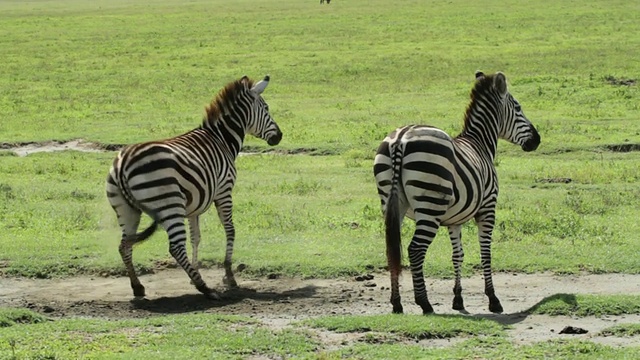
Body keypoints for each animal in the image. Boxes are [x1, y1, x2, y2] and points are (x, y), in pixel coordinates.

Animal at [106, 74, 282, 300]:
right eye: (266, 108)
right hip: (170, 204)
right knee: (175, 247)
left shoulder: (194, 204)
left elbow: (196, 237)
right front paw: (228, 275)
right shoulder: (224, 191)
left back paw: (138, 287)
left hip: (125, 209)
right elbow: (230, 229)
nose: (279, 136)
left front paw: (194, 272)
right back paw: (205, 288)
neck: (221, 139)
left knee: (125, 245)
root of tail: (123, 164)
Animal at [376, 71, 540, 314]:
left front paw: (458, 299)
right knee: (415, 249)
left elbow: (458, 255)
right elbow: (485, 253)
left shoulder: (455, 220)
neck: (480, 144)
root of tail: (400, 139)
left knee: (392, 250)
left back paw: (397, 303)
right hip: (430, 205)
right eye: (518, 107)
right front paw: (493, 299)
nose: (537, 140)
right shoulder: (488, 207)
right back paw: (424, 303)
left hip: (391, 203)